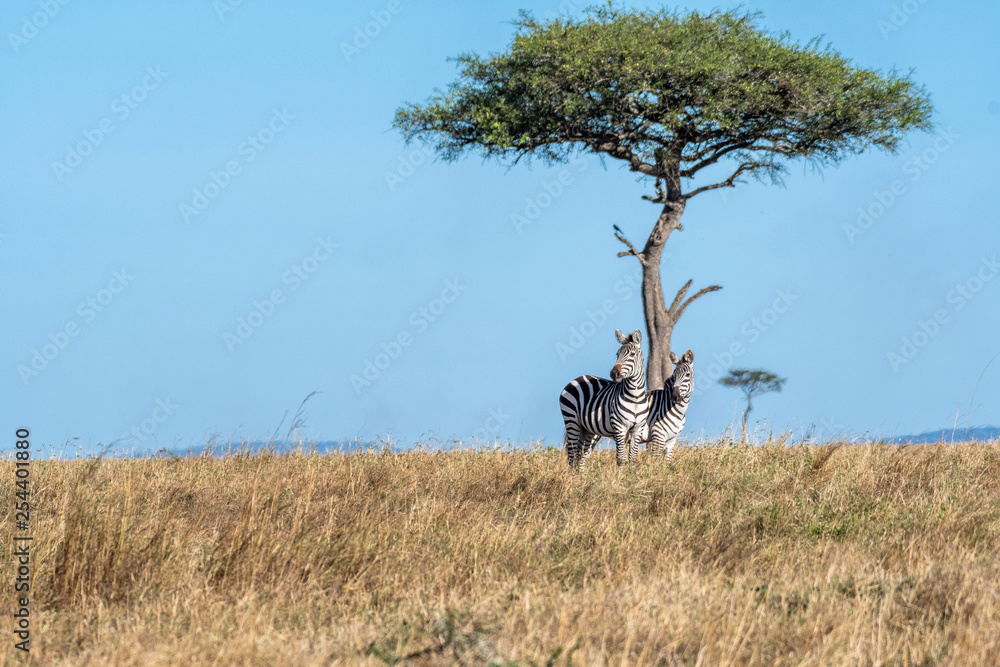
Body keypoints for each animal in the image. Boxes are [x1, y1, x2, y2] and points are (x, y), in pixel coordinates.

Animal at [560, 329, 649, 470]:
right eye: (617, 354)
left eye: (633, 354)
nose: (614, 374)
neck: (635, 397)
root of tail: (577, 378)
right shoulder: (620, 427)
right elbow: (621, 459)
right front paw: (620, 476)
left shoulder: (638, 429)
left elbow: (633, 459)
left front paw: (632, 476)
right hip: (571, 421)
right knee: (572, 455)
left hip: (588, 430)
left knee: (581, 455)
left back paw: (579, 476)